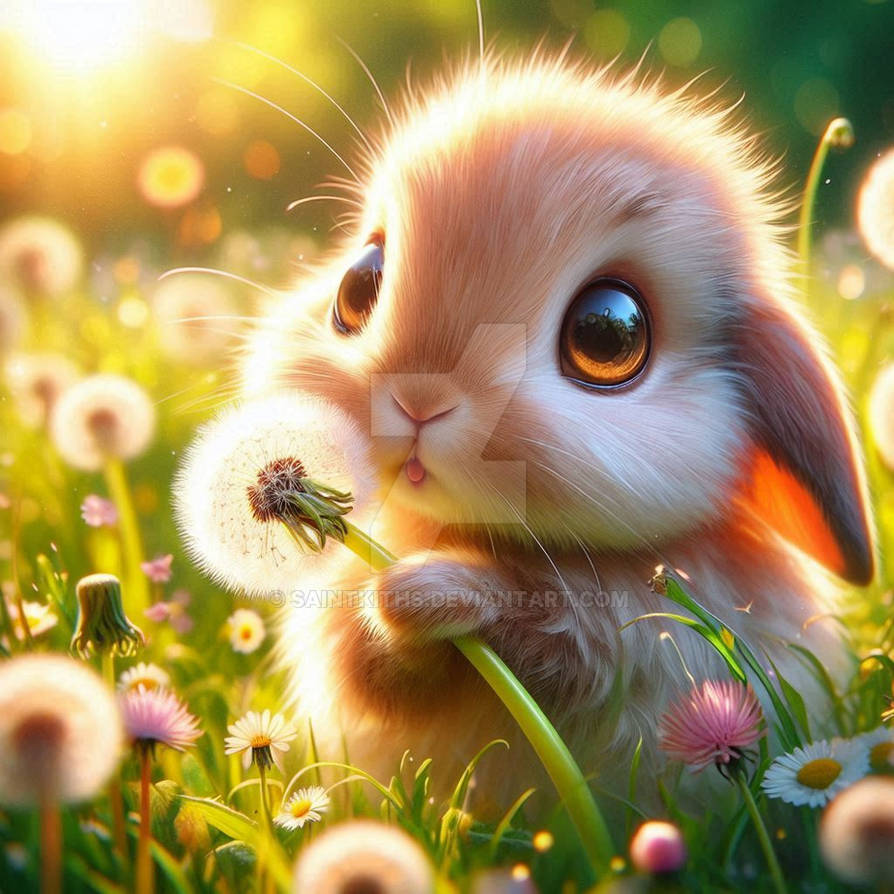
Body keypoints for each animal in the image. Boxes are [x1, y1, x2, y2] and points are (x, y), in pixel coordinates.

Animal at [238, 53, 874, 804]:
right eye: (357, 286)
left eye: (609, 334)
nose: (418, 397)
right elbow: (371, 671)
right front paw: (396, 604)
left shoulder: (647, 637)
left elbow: (570, 639)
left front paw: (423, 590)